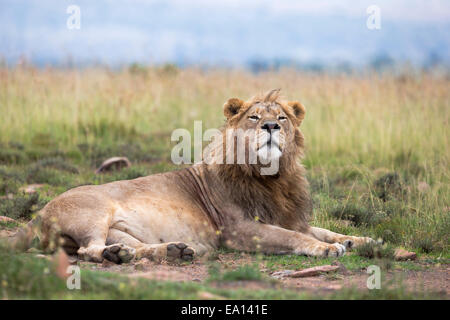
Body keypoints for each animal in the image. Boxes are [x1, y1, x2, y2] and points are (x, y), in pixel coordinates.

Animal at [10, 89, 374, 262]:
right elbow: (293, 237)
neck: (273, 178)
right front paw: (325, 249)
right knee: (87, 251)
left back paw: (171, 251)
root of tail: (40, 212)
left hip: (121, 231)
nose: (271, 126)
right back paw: (119, 256)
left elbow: (321, 229)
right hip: (94, 214)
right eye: (255, 117)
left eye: (282, 118)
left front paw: (360, 240)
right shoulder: (239, 230)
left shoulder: (288, 216)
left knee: (123, 247)